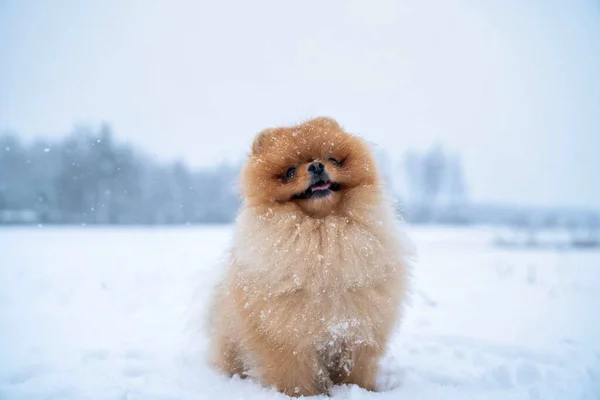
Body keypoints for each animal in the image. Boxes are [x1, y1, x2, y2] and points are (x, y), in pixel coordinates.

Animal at [207, 116, 412, 396]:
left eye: (332, 159)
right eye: (290, 171)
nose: (316, 165)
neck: (323, 234)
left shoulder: (359, 330)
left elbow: (357, 369)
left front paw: (360, 390)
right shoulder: (286, 336)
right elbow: (293, 374)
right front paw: (300, 395)